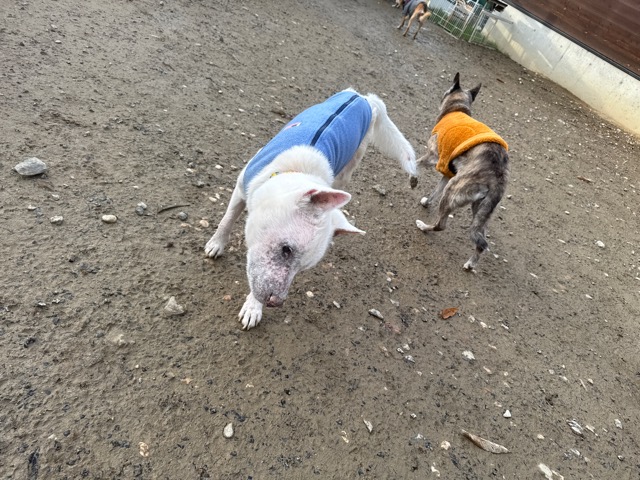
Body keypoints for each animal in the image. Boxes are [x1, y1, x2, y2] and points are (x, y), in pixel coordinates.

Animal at [205, 89, 417, 329]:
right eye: (286, 250)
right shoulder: (242, 187)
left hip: (351, 163)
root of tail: (364, 98)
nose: (276, 302)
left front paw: (253, 307)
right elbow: (227, 219)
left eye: (303, 269)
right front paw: (217, 243)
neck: (293, 171)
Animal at [415, 73, 509, 271]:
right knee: (481, 241)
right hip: (480, 210)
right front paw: (427, 201)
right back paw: (470, 264)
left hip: (453, 190)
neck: (458, 108)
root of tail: (498, 177)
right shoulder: (447, 170)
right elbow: (435, 191)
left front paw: (412, 179)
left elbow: (416, 164)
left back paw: (423, 227)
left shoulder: (433, 157)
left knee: (441, 225)